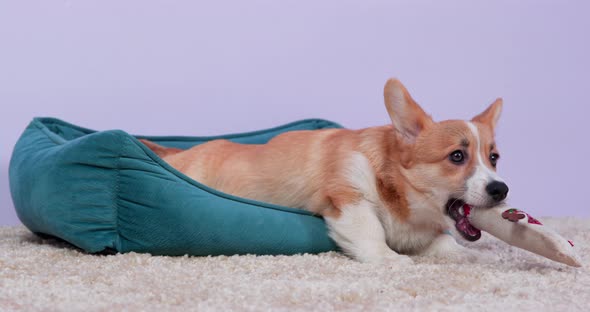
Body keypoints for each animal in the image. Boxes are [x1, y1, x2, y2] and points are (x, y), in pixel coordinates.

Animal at [142, 79, 508, 264]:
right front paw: (388, 258)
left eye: (494, 158)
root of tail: (179, 154)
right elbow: (371, 230)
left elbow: (445, 243)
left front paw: (467, 254)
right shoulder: (347, 195)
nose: (501, 189)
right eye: (457, 156)